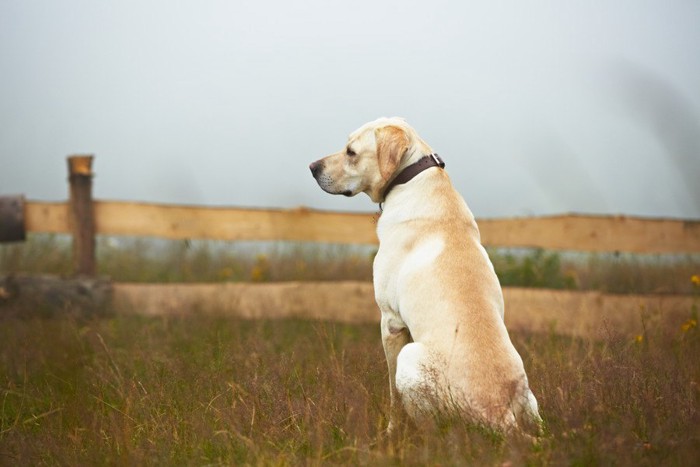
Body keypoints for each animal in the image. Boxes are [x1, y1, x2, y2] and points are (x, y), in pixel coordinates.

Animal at [308, 117, 544, 436]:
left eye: (351, 152)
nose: (312, 167)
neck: (411, 178)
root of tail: (502, 417)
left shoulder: (391, 322)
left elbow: (392, 395)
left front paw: (391, 432)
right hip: (530, 398)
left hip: (411, 358)